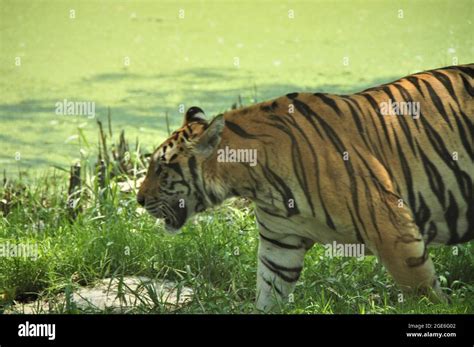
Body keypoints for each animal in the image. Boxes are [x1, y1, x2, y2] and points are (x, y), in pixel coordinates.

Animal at [137, 64, 474, 312]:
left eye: (161, 169)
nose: (139, 199)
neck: (257, 181)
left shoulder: (392, 227)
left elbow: (420, 289)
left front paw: (441, 308)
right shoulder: (280, 243)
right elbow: (269, 291)